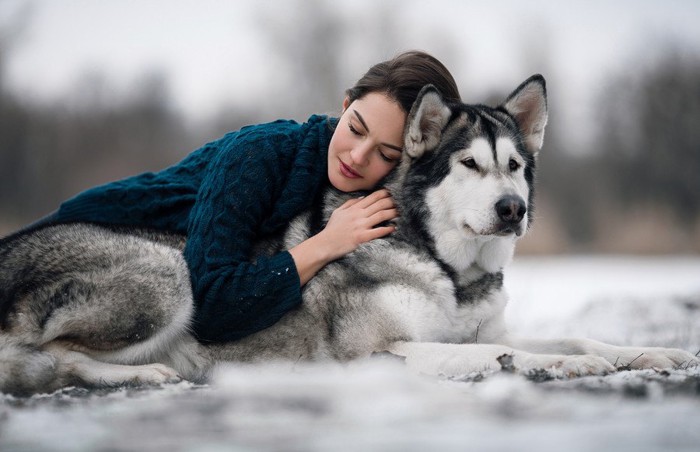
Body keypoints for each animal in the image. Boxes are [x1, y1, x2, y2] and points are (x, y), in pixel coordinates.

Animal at [0, 77, 696, 396]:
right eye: (469, 164)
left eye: (517, 166)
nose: (512, 209)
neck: (449, 268)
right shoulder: (381, 353)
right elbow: (497, 354)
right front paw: (559, 363)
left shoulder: (478, 324)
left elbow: (569, 335)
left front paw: (647, 352)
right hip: (172, 275)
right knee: (52, 355)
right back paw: (147, 375)